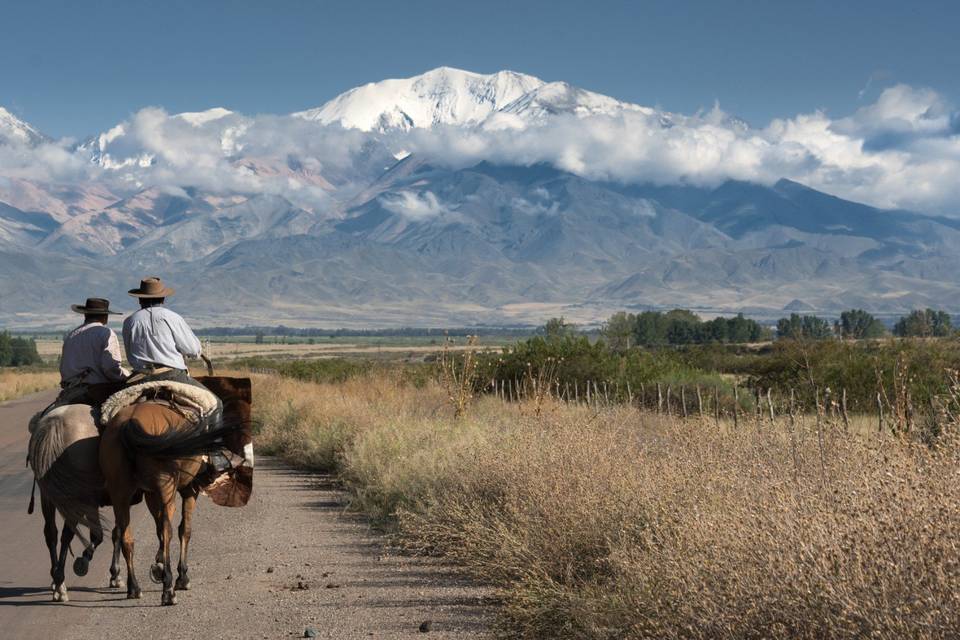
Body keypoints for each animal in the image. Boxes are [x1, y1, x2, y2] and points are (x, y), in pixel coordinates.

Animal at [99, 376, 253, 604]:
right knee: (167, 530)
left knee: (126, 534)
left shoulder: (150, 494)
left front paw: (158, 566)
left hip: (121, 491)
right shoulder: (190, 489)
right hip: (166, 487)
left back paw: (134, 587)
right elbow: (184, 530)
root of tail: (129, 422)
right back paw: (168, 590)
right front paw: (181, 576)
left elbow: (157, 530)